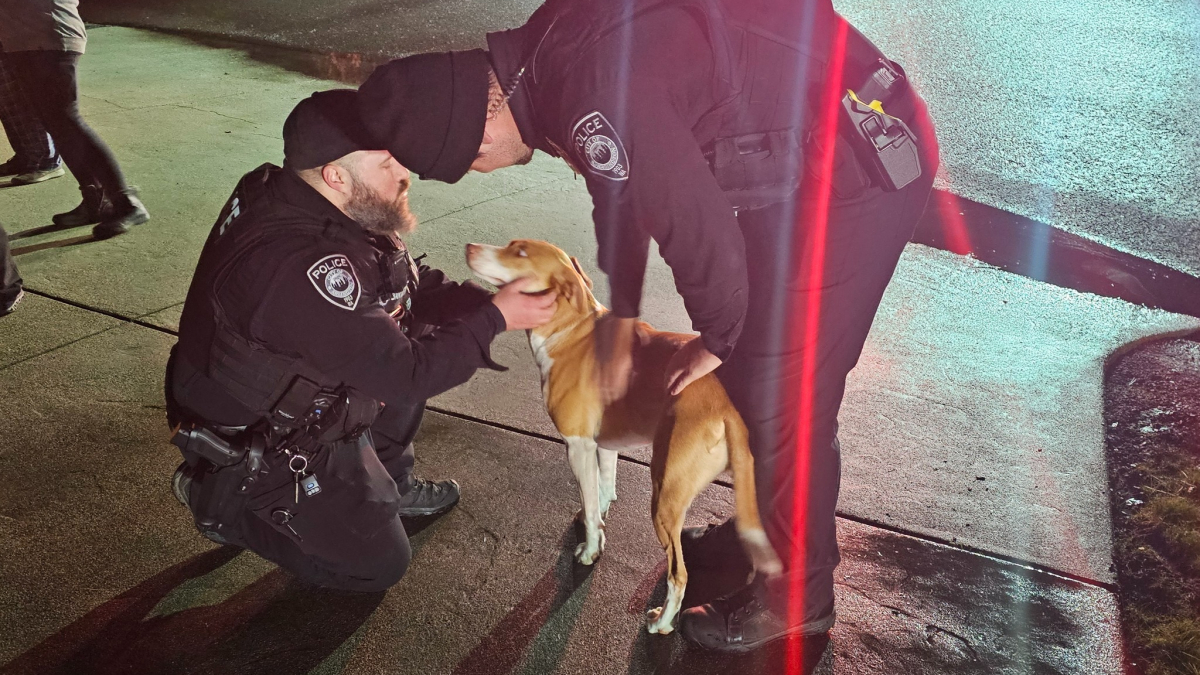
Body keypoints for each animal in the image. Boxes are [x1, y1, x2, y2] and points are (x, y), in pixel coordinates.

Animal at [463, 237, 782, 629]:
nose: (469, 246)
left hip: (665, 494)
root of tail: (728, 409)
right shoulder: (604, 446)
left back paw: (662, 623)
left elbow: (588, 503)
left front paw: (589, 551)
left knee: (679, 574)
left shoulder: (578, 447)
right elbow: (601, 491)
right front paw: (597, 524)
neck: (571, 329)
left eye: (520, 252)